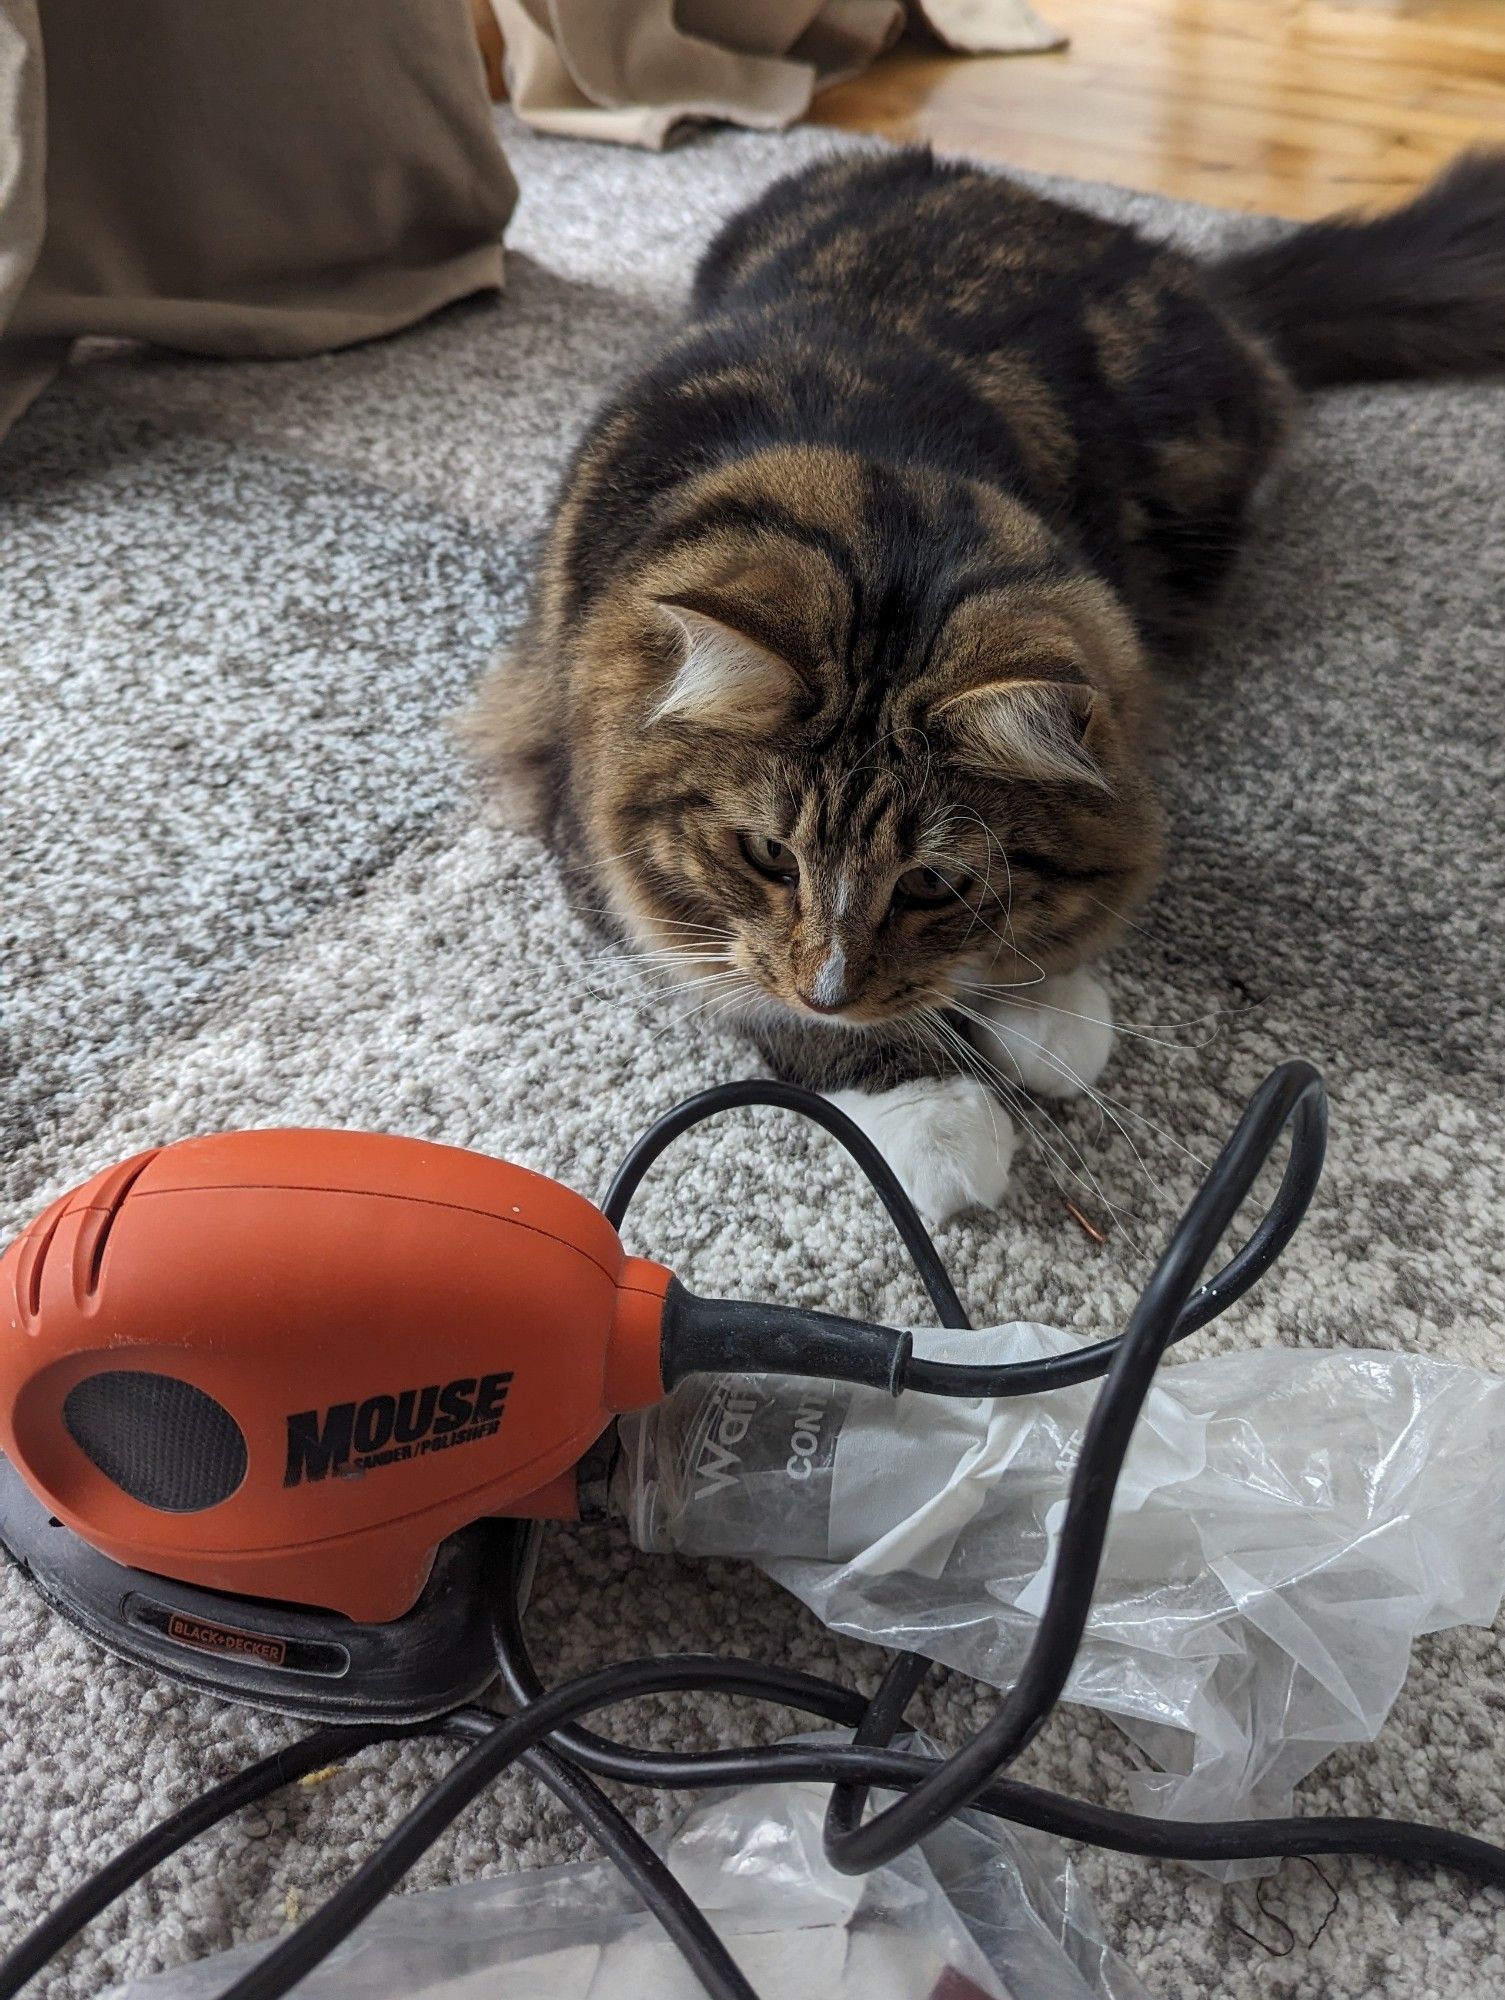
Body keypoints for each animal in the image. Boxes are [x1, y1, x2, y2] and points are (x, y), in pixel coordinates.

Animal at [472, 145, 1505, 1216]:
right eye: (767, 856)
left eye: (931, 883)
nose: (831, 991)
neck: (884, 513)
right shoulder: (588, 834)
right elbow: (750, 988)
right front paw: (933, 1110)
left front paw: (1044, 1010)